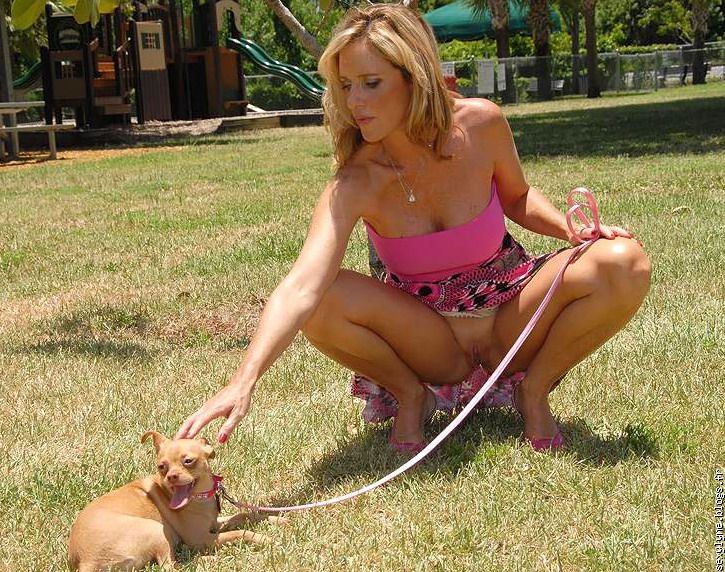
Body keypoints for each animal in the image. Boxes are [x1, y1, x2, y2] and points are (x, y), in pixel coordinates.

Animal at [68, 431, 280, 571]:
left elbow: (243, 515)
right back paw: (208, 560)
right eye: (162, 467)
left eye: (188, 461)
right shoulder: (202, 539)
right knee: (169, 566)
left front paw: (277, 519)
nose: (171, 476)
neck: (200, 498)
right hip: (155, 529)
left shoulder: (214, 524)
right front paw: (265, 538)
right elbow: (240, 532)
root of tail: (85, 561)